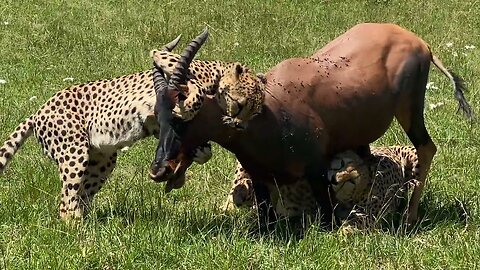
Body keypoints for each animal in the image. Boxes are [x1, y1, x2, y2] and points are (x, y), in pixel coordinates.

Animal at [0, 32, 262, 220]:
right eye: (242, 104)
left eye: (254, 111)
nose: (240, 124)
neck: (216, 76)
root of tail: (37, 112)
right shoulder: (170, 68)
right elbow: (187, 84)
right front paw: (187, 105)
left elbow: (199, 148)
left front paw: (198, 152)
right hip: (74, 154)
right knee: (67, 203)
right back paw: (80, 237)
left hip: (101, 162)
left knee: (81, 199)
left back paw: (89, 228)